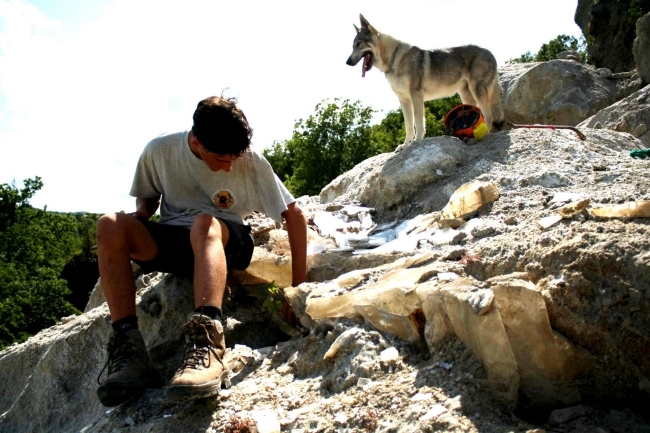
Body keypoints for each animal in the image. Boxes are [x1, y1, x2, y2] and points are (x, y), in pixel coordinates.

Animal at [346, 13, 504, 151]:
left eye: (358, 44)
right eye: (352, 45)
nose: (347, 62)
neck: (393, 60)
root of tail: (491, 53)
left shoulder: (416, 96)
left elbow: (419, 122)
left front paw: (417, 142)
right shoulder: (404, 100)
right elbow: (409, 125)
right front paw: (405, 146)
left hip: (477, 91)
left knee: (488, 116)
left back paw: (481, 137)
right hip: (466, 96)